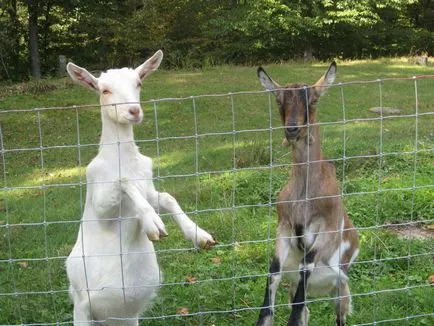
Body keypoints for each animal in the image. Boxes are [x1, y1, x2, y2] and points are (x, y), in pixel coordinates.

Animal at [65, 49, 214, 324]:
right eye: (104, 90)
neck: (123, 160)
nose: (133, 111)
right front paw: (152, 222)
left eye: (139, 83)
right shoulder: (100, 205)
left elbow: (166, 197)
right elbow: (122, 181)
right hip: (81, 308)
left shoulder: (148, 187)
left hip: (128, 317)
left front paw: (198, 234)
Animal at [258, 62, 360, 324]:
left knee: (339, 315)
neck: (305, 195)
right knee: (306, 310)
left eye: (313, 100)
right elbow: (273, 272)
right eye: (279, 99)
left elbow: (306, 269)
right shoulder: (284, 227)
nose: (292, 129)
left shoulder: (326, 232)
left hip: (341, 289)